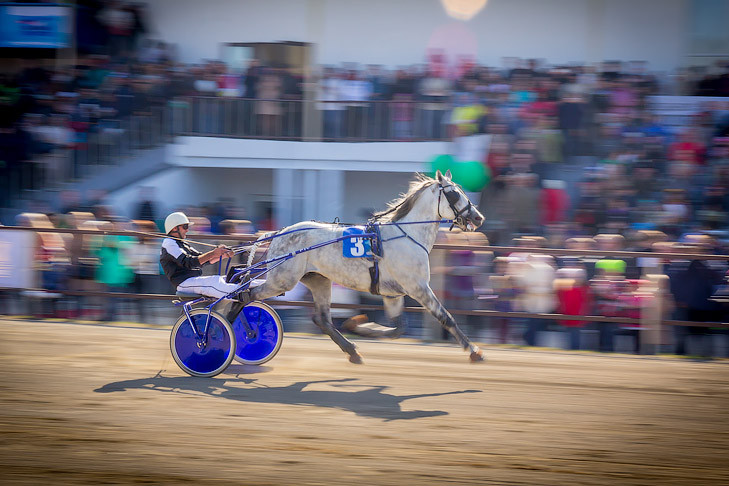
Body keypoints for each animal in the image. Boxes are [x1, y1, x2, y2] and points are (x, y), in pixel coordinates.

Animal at [242, 169, 486, 362]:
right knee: (246, 296)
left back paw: (351, 350)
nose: (478, 217)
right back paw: (247, 332)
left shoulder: (393, 294)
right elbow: (446, 317)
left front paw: (359, 327)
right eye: (454, 194)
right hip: (282, 280)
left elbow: (398, 329)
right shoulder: (418, 287)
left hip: (319, 280)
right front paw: (474, 350)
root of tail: (279, 232)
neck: (407, 235)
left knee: (322, 318)